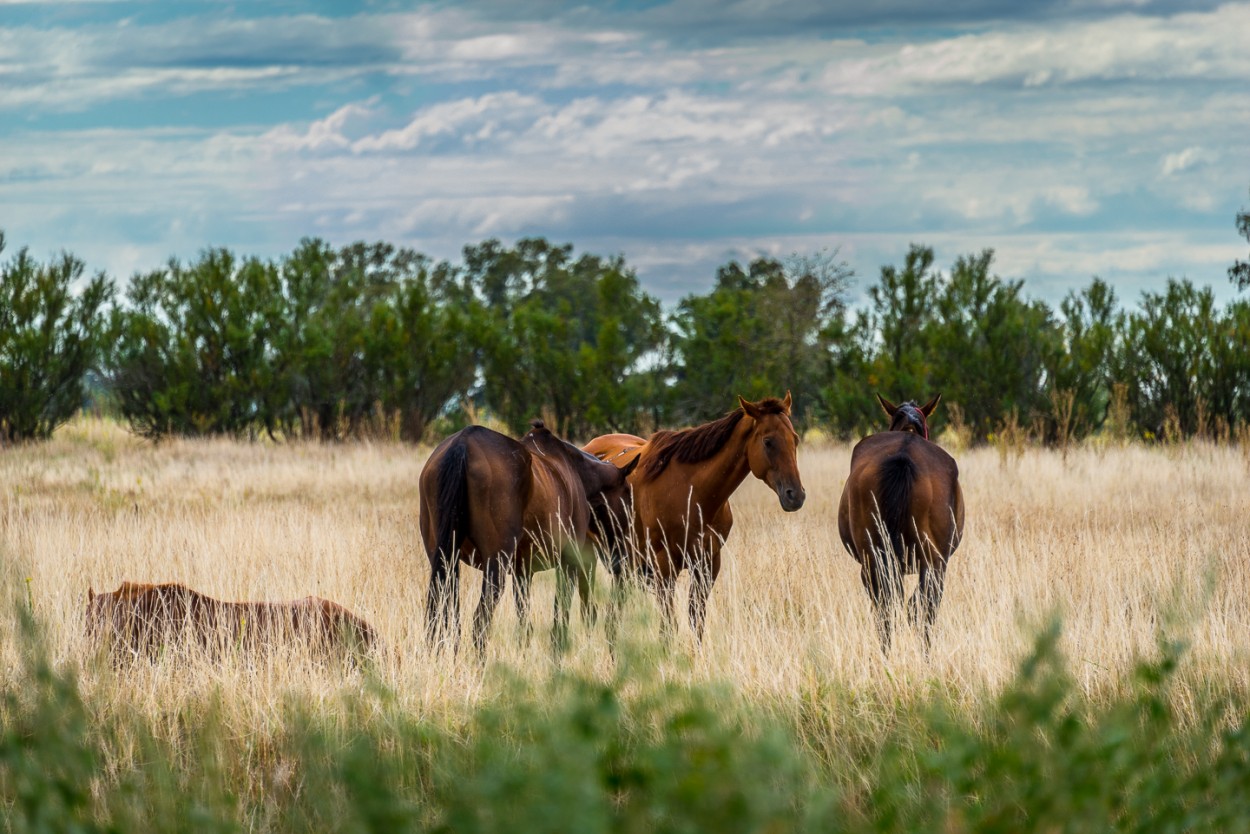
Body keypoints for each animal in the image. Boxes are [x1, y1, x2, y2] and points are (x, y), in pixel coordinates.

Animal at [420, 420, 640, 655]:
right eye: (628, 498)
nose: (623, 557)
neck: (577, 472)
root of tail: (463, 444)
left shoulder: (522, 572)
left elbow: (524, 624)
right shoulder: (568, 564)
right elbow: (560, 619)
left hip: (446, 562)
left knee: (443, 617)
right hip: (494, 565)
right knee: (479, 621)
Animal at [582, 395, 805, 645]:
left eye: (795, 439)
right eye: (768, 442)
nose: (795, 495)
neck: (692, 495)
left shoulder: (707, 564)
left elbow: (696, 621)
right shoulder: (664, 568)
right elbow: (668, 628)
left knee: (612, 617)